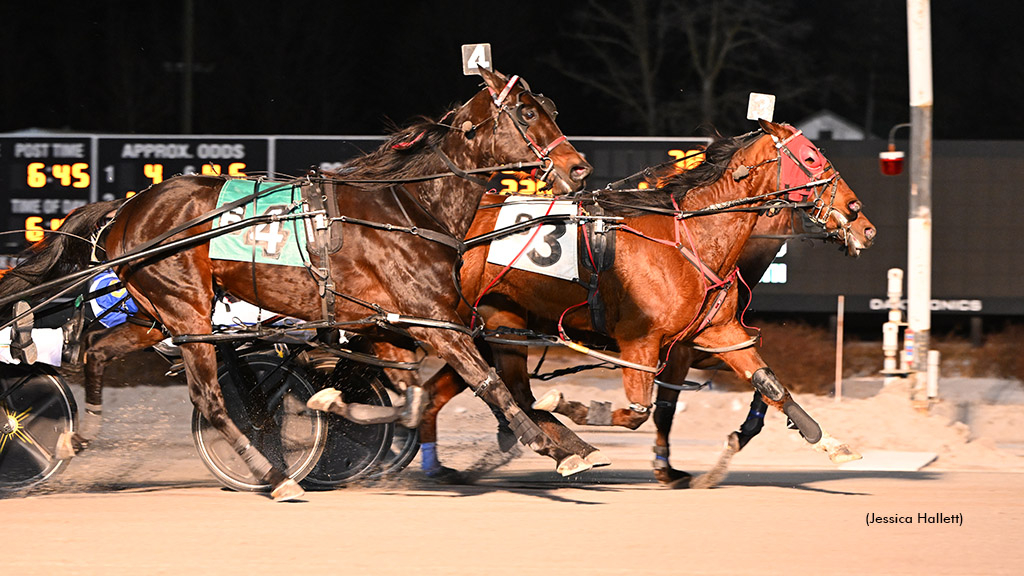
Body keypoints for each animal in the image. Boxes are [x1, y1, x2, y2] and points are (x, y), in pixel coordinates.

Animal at [0, 68, 593, 498]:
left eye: (552, 109)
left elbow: (408, 398)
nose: (579, 168)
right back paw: (274, 476)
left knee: (97, 352)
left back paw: (81, 435)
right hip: (187, 313)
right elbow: (485, 381)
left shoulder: (390, 325)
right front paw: (552, 446)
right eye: (525, 112)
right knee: (209, 398)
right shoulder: (434, 323)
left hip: (158, 313)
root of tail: (125, 210)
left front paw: (333, 405)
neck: (408, 208)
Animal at [413, 118, 872, 481]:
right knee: (494, 389)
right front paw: (578, 410)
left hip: (500, 325)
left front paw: (829, 441)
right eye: (811, 158)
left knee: (498, 390)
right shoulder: (642, 342)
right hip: (461, 325)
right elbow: (640, 410)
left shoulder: (719, 332)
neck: (690, 238)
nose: (860, 218)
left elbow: (769, 384)